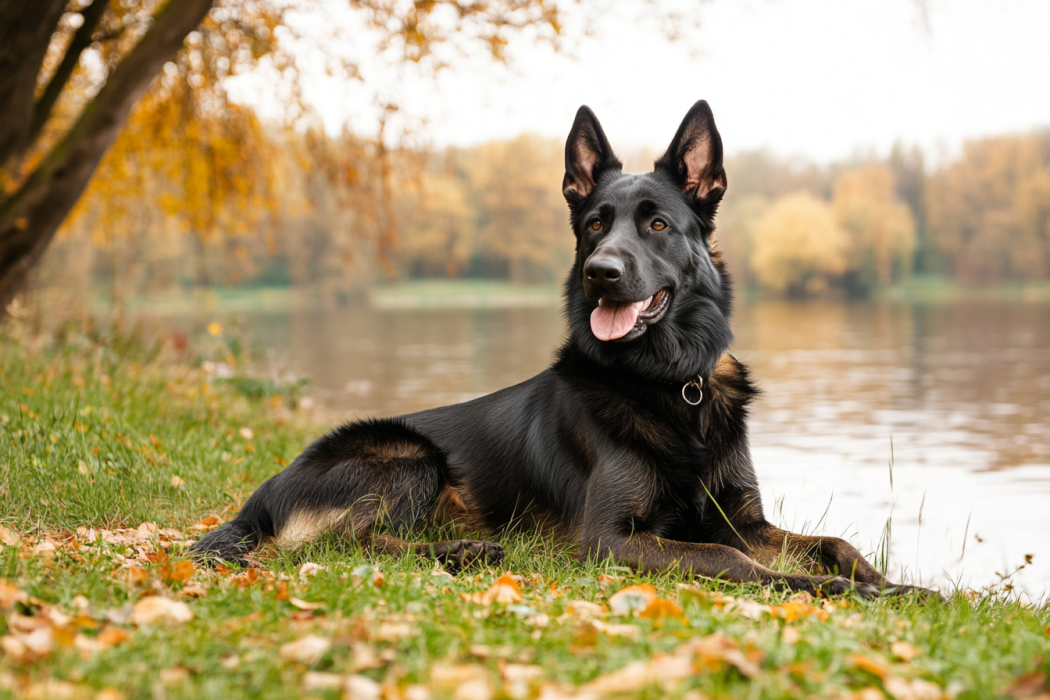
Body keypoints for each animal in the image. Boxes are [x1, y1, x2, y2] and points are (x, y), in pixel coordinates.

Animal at [193, 102, 923, 596]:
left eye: (658, 224)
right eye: (595, 225)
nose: (601, 272)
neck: (673, 383)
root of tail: (261, 494)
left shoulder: (737, 518)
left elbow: (831, 541)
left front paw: (897, 585)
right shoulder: (613, 539)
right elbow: (733, 562)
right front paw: (832, 590)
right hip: (410, 455)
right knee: (346, 543)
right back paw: (462, 553)